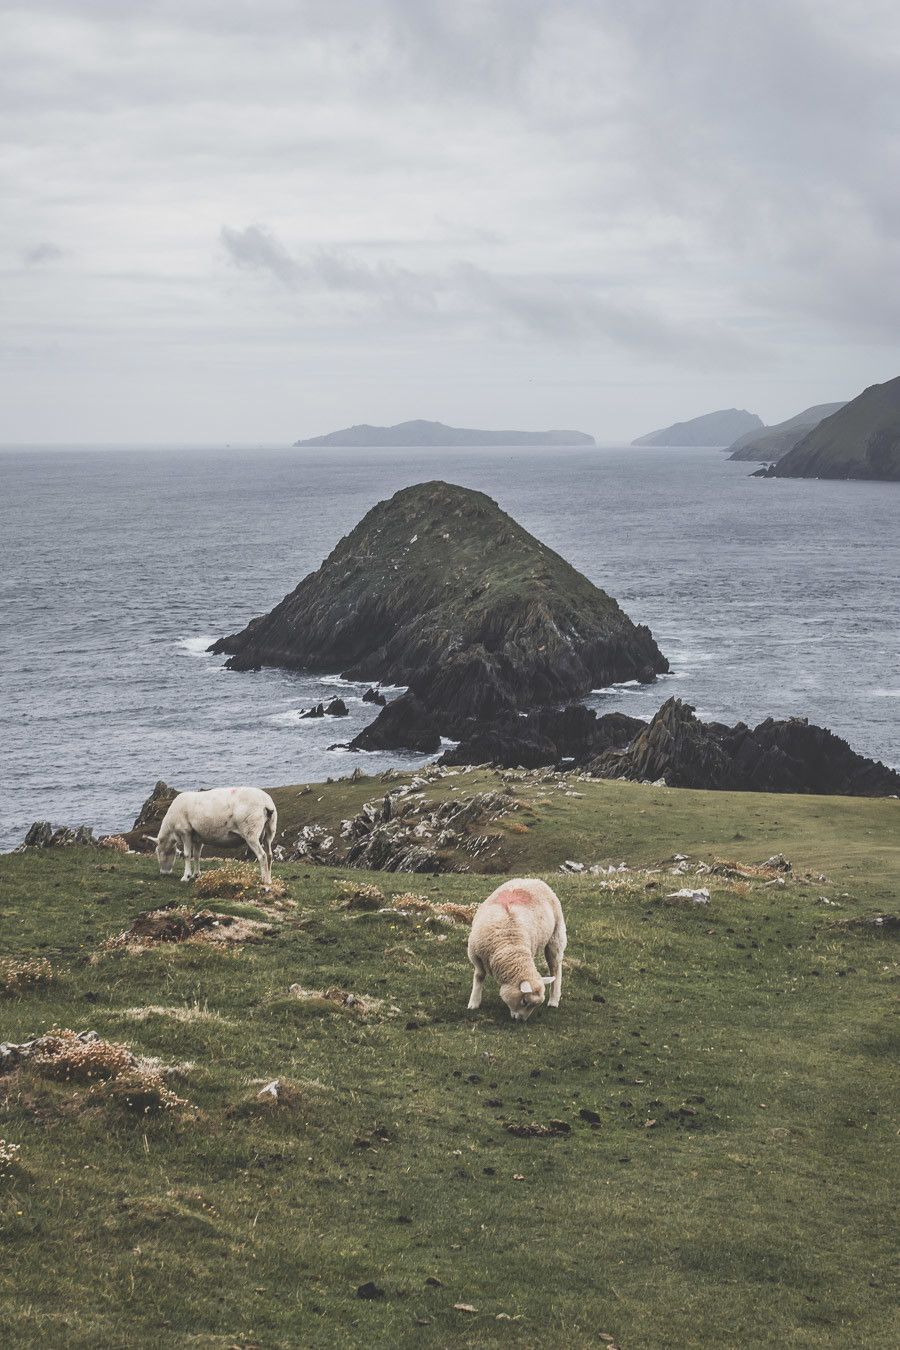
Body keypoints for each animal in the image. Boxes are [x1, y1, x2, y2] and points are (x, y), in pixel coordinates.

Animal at [146, 788, 277, 891]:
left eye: (158, 852)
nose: (163, 873)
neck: (171, 829)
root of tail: (266, 803)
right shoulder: (198, 837)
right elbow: (197, 855)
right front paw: (196, 875)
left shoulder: (185, 832)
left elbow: (187, 855)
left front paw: (186, 876)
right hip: (270, 830)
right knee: (269, 854)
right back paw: (269, 879)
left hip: (251, 831)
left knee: (262, 855)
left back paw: (264, 880)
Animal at [469, 874, 566, 1020]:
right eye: (524, 1001)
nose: (521, 1020)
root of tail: (533, 879)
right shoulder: (476, 955)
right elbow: (479, 975)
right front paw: (474, 1003)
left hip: (555, 936)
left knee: (555, 968)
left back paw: (554, 1000)